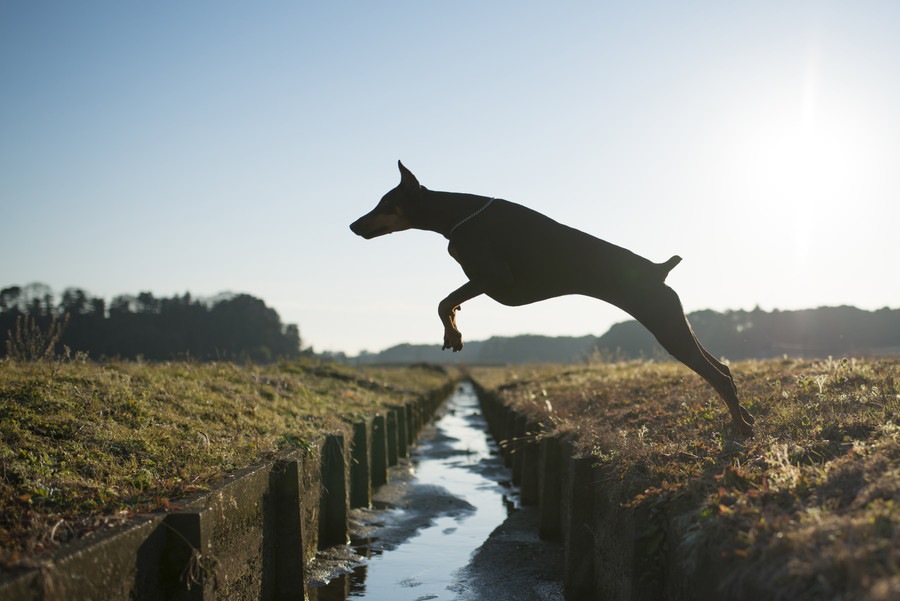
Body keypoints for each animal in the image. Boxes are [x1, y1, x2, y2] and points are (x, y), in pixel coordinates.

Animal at [348, 162, 756, 434]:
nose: (353, 225)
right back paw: (746, 417)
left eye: (384, 203)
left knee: (716, 376)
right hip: (675, 322)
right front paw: (454, 324)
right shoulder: (483, 280)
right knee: (723, 369)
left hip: (665, 325)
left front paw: (453, 332)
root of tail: (659, 269)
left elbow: (443, 301)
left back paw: (740, 428)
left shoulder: (494, 276)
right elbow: (450, 300)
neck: (458, 215)